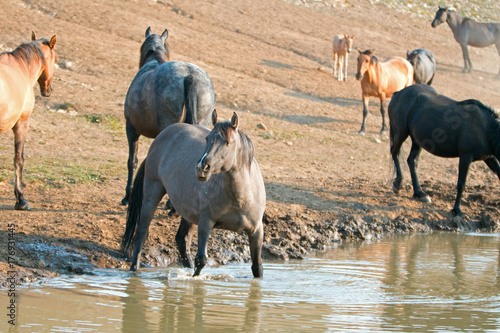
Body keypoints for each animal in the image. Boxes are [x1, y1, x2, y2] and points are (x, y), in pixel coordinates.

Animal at [0, 33, 57, 210]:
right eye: (55, 59)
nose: (48, 90)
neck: (21, 67)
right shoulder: (22, 123)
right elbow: (19, 159)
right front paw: (21, 199)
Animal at [121, 110, 268, 276]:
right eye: (207, 139)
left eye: (227, 142)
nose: (202, 168)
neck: (241, 198)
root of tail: (161, 137)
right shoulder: (206, 222)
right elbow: (201, 259)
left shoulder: (256, 231)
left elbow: (257, 266)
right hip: (153, 191)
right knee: (142, 232)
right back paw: (134, 269)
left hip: (188, 213)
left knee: (181, 239)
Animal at [388, 83, 500, 215]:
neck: (486, 129)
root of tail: (398, 93)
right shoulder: (465, 157)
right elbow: (461, 183)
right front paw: (457, 210)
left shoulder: (489, 157)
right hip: (401, 133)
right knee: (395, 153)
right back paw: (398, 183)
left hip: (417, 140)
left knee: (412, 161)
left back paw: (420, 193)